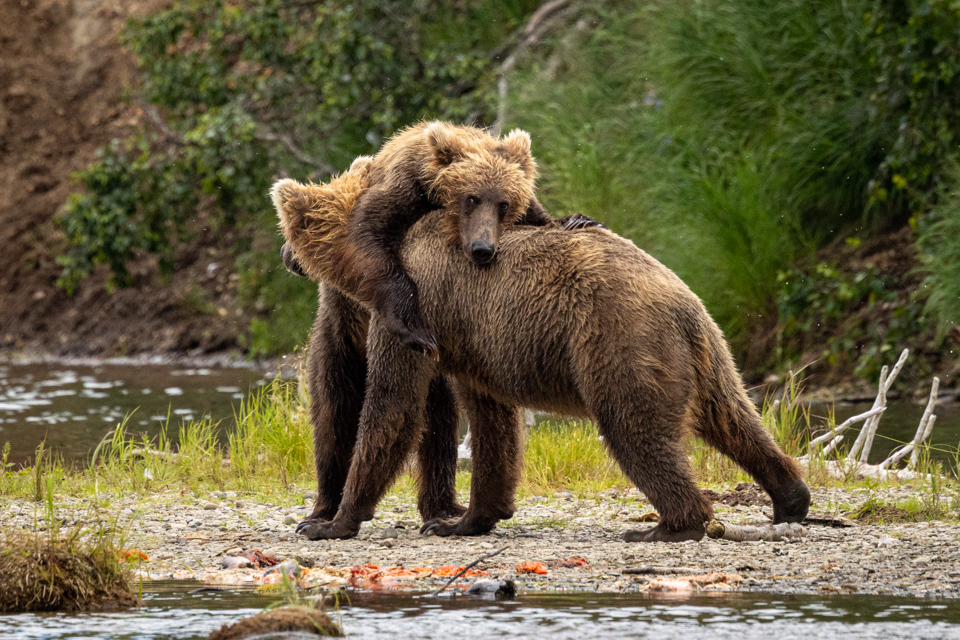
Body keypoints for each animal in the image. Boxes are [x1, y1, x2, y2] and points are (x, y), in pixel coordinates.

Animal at [272, 173, 811, 544]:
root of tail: (684, 305)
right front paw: (466, 519)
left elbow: (392, 406)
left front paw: (331, 522)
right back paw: (791, 498)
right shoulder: (470, 342)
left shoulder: (413, 304)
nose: (285, 256)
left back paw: (669, 524)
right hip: (706, 352)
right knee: (733, 418)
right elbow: (492, 424)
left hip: (618, 343)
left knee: (634, 429)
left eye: (292, 231)